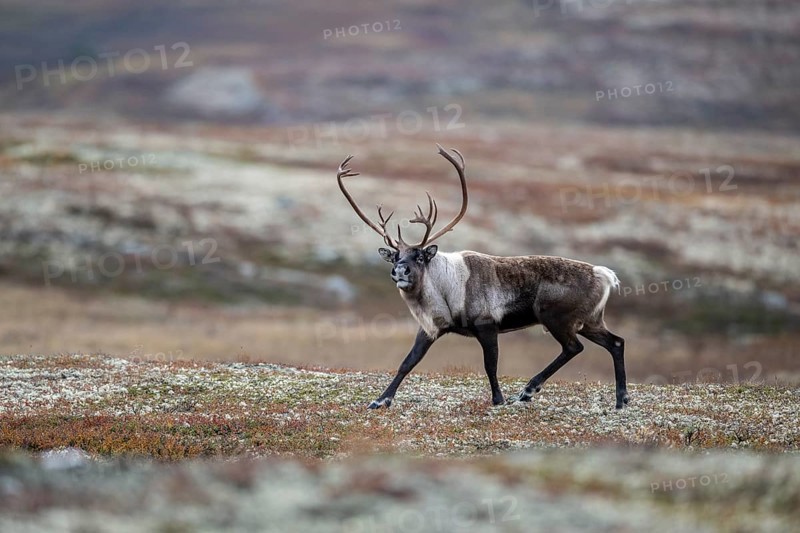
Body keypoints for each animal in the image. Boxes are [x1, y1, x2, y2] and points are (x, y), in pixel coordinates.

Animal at [336, 145, 628, 410]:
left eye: (419, 256)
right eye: (396, 257)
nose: (399, 271)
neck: (443, 286)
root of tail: (603, 274)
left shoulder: (487, 325)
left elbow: (491, 364)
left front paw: (498, 400)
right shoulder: (429, 328)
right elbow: (408, 362)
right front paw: (380, 400)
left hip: (556, 318)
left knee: (573, 348)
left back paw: (528, 391)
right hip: (589, 320)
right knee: (615, 342)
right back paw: (621, 400)